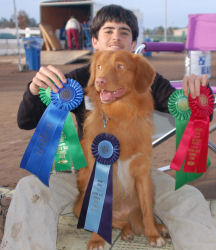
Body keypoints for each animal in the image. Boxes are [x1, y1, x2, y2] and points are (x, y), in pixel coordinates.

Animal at [74, 49, 169, 249]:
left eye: (120, 66)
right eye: (99, 66)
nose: (99, 81)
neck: (120, 115)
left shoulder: (143, 173)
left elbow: (148, 212)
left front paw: (153, 235)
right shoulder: (96, 171)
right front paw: (96, 240)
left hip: (150, 189)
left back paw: (158, 227)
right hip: (80, 208)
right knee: (119, 223)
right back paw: (125, 232)